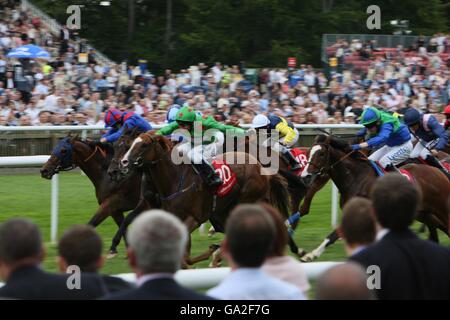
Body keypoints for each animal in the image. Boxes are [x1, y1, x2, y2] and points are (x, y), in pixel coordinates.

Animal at [116, 132, 294, 264]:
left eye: (144, 145)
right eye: (131, 143)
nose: (123, 162)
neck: (176, 180)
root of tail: (261, 169)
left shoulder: (193, 218)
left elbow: (185, 258)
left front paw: (213, 251)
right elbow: (184, 257)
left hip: (247, 200)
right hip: (223, 213)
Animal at [298, 134, 450, 262]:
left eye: (321, 154)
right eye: (309, 152)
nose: (305, 176)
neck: (356, 178)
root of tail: (439, 171)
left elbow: (335, 234)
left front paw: (310, 254)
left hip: (441, 209)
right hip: (425, 214)